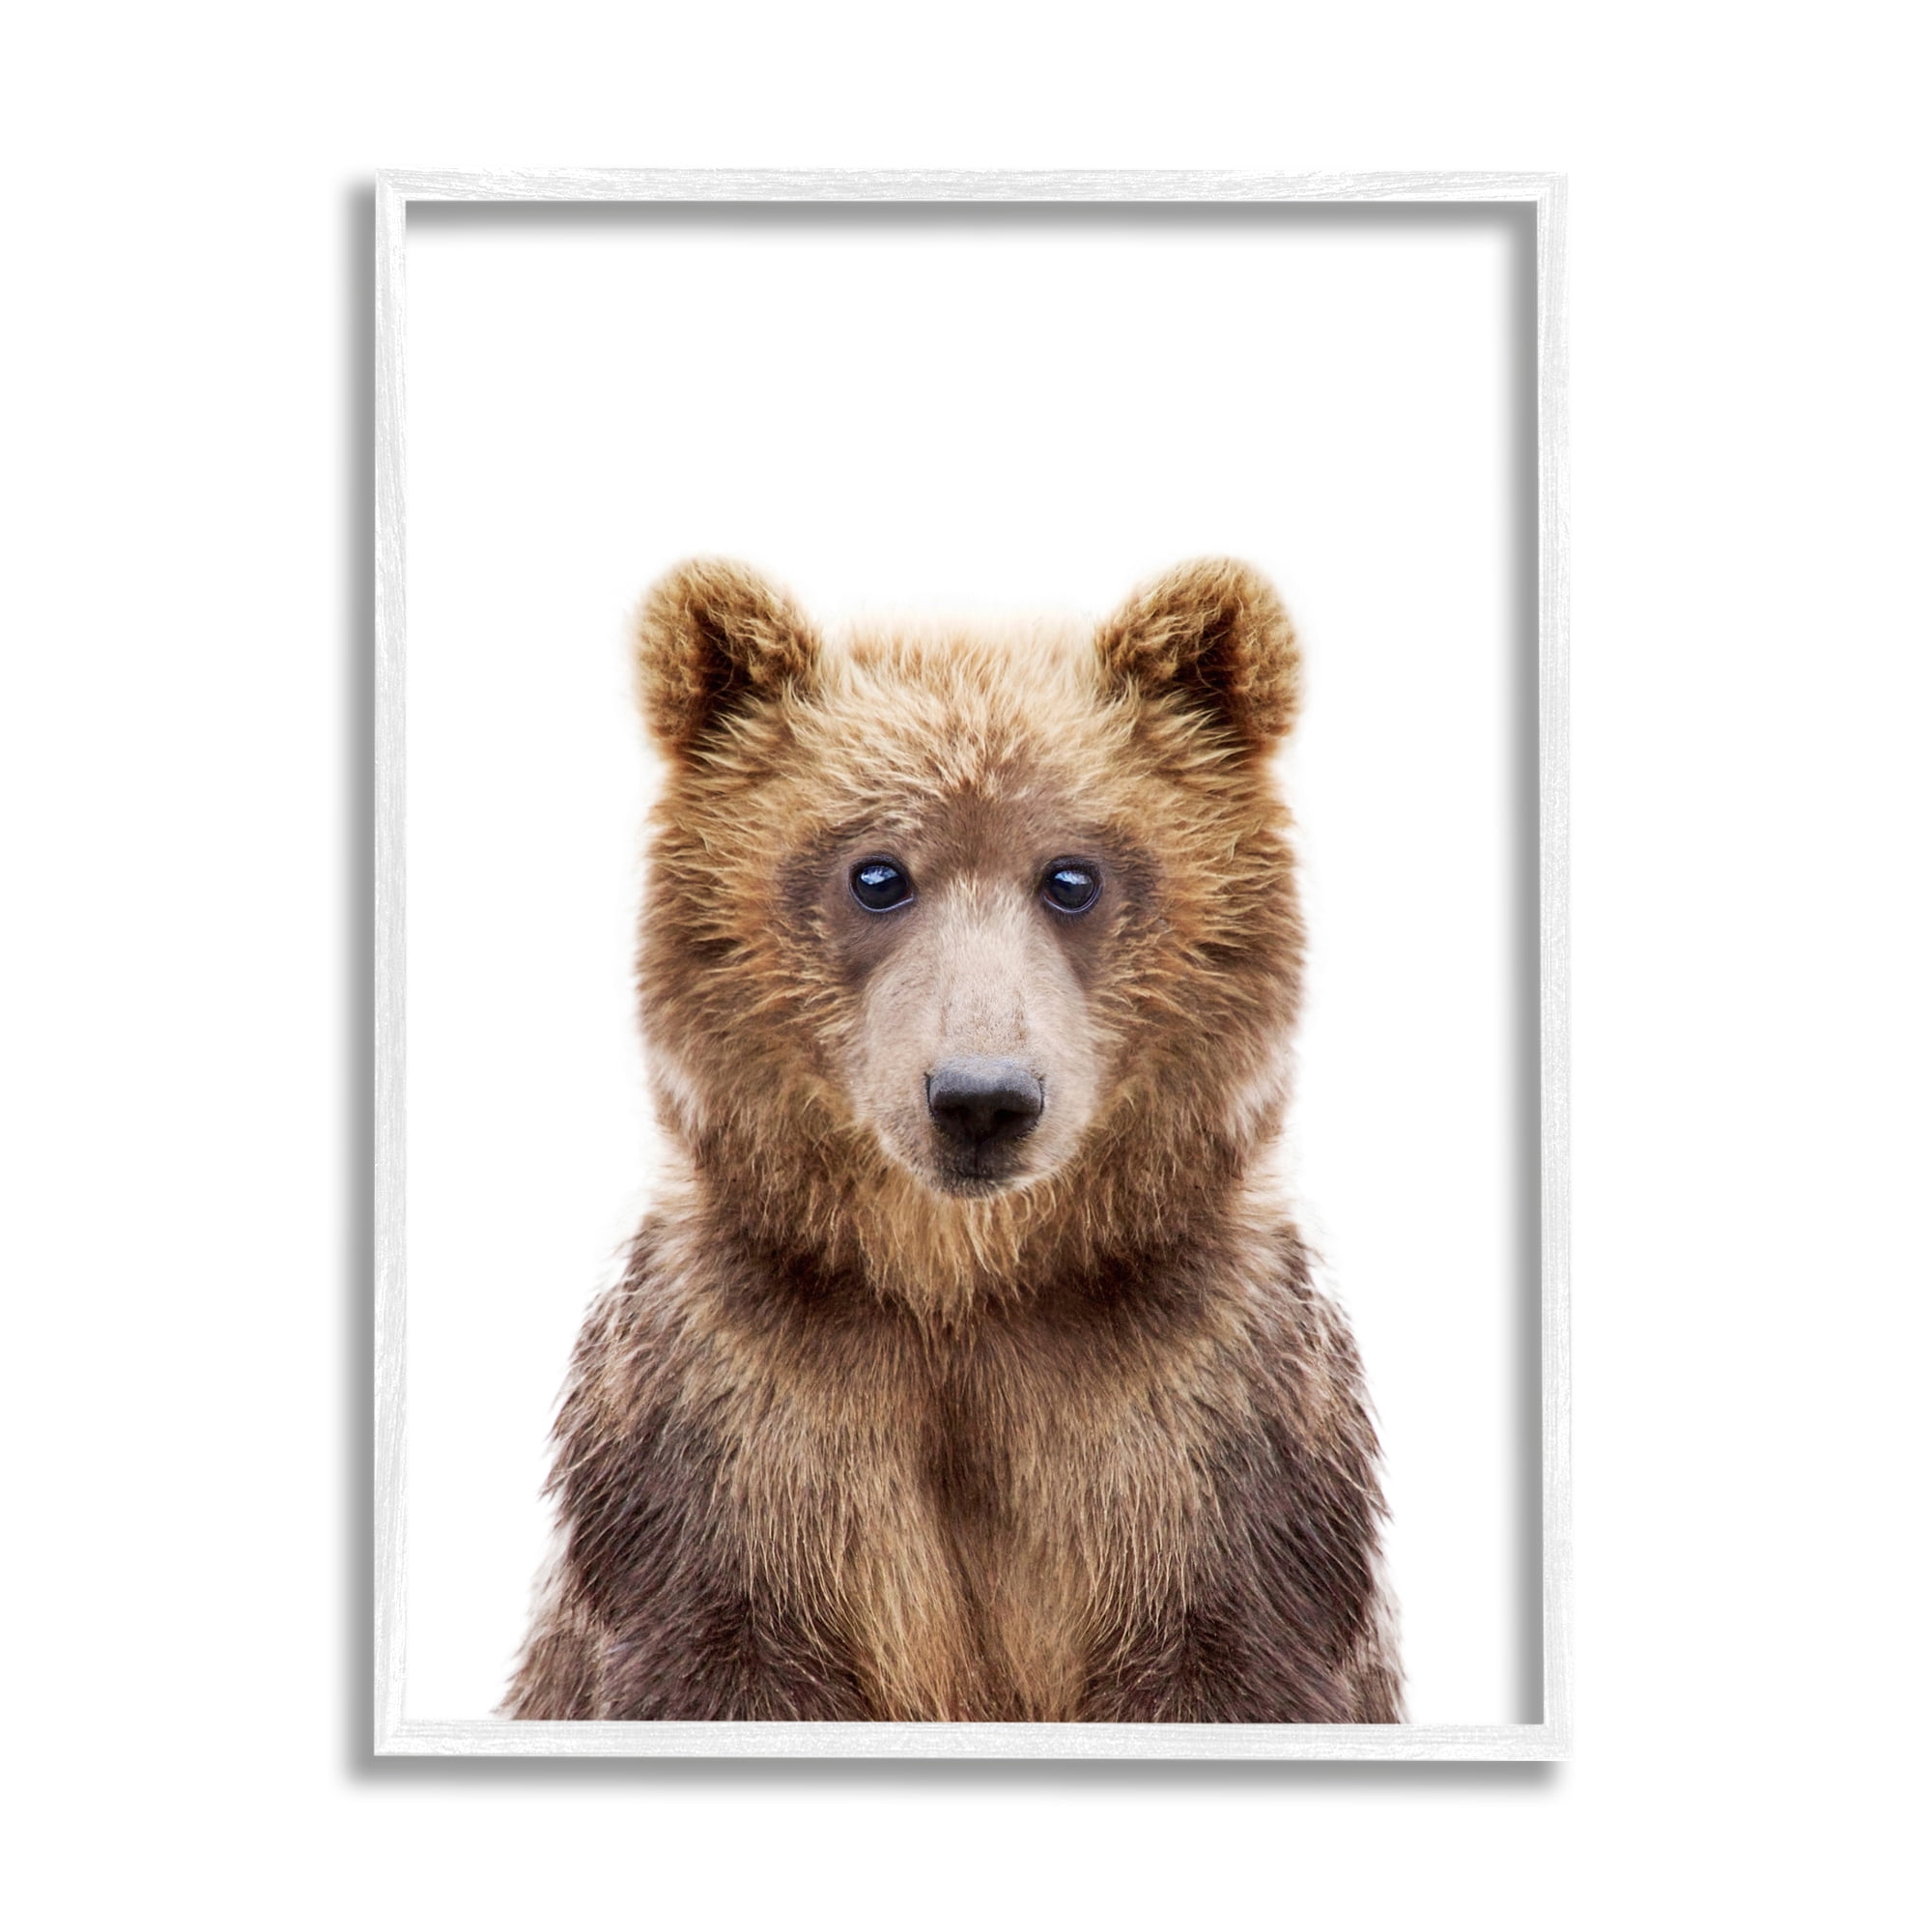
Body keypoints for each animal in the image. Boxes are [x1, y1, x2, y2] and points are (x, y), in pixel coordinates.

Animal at [503, 558, 1402, 1724]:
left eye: (1072, 875)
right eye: (876, 872)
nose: (981, 1098)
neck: (964, 1288)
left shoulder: (1206, 1431)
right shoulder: (731, 1430)